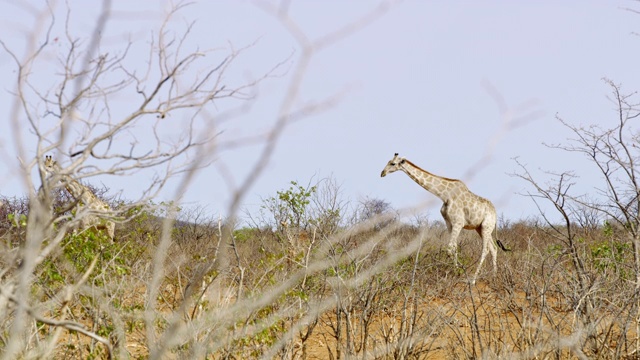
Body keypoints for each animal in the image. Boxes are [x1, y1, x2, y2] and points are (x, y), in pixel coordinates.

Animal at [380, 153, 510, 282]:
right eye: (388, 161)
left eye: (393, 163)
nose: (382, 173)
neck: (444, 195)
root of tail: (495, 214)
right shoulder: (449, 223)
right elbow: (454, 247)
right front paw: (455, 272)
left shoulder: (458, 223)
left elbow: (450, 248)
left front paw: (454, 272)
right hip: (480, 228)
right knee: (493, 248)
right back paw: (494, 276)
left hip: (486, 227)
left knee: (486, 249)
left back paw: (473, 280)